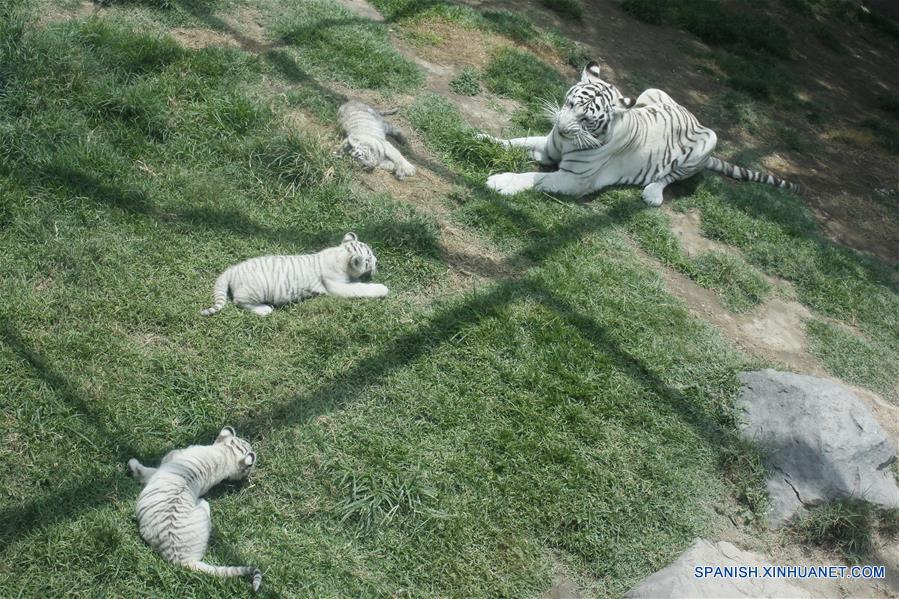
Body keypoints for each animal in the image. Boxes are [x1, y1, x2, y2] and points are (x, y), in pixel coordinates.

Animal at [130, 428, 264, 592]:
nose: (249, 472)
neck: (225, 455)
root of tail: (182, 558)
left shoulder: (169, 459)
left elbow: (149, 471)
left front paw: (133, 465)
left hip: (203, 513)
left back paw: (200, 501)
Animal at [200, 231, 386, 318]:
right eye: (368, 259)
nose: (377, 261)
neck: (341, 253)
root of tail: (232, 269)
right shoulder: (336, 286)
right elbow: (361, 288)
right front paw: (383, 289)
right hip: (254, 291)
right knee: (239, 301)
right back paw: (264, 309)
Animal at [482, 61, 800, 205]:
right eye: (570, 104)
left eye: (587, 119)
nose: (561, 129)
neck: (565, 143)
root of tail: (695, 119)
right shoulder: (549, 147)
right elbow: (516, 140)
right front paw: (482, 138)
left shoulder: (575, 179)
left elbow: (533, 177)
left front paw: (501, 182)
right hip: (653, 92)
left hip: (709, 142)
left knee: (668, 178)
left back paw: (652, 194)